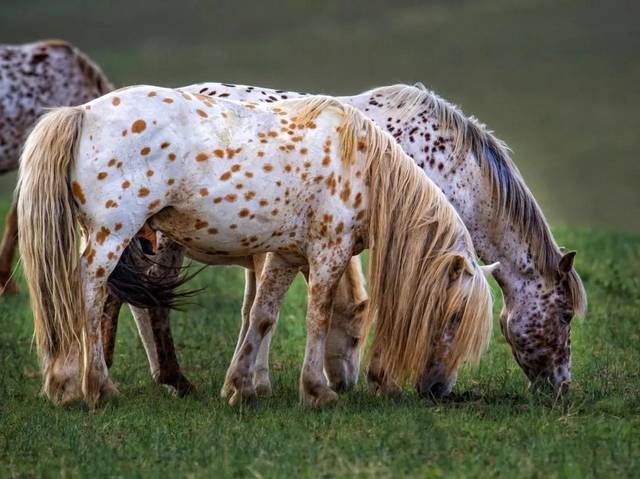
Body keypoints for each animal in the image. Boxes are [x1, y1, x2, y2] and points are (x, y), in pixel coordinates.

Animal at [16, 87, 496, 408]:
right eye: (455, 315)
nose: (438, 389)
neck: (363, 166)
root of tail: (82, 113)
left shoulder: (284, 256)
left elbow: (262, 316)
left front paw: (242, 386)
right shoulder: (329, 252)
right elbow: (318, 317)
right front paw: (316, 390)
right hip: (113, 234)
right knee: (89, 294)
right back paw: (93, 386)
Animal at [107, 82, 588, 398]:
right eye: (565, 315)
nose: (562, 387)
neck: (444, 165)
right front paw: (375, 379)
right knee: (140, 303)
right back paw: (160, 378)